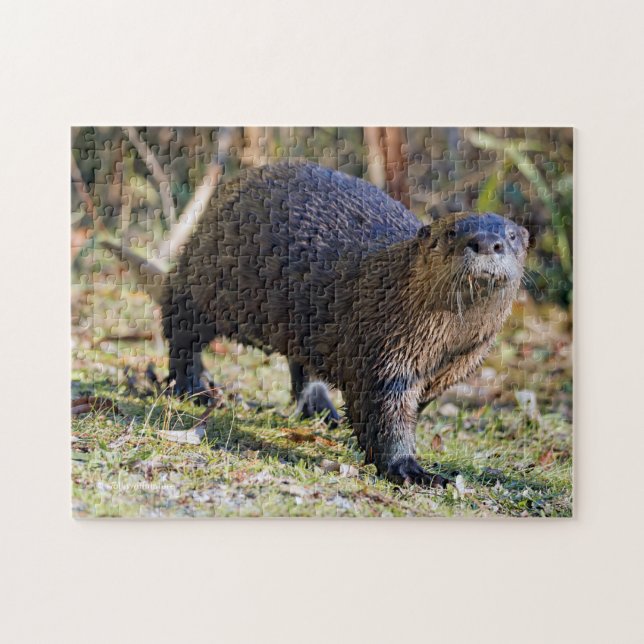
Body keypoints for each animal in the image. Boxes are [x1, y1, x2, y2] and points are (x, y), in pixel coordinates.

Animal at [162, 162, 528, 487]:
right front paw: (408, 469)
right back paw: (193, 386)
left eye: (511, 236)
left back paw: (319, 409)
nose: (486, 243)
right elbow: (384, 413)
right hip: (212, 279)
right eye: (452, 232)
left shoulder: (451, 367)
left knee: (302, 361)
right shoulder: (385, 354)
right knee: (180, 316)